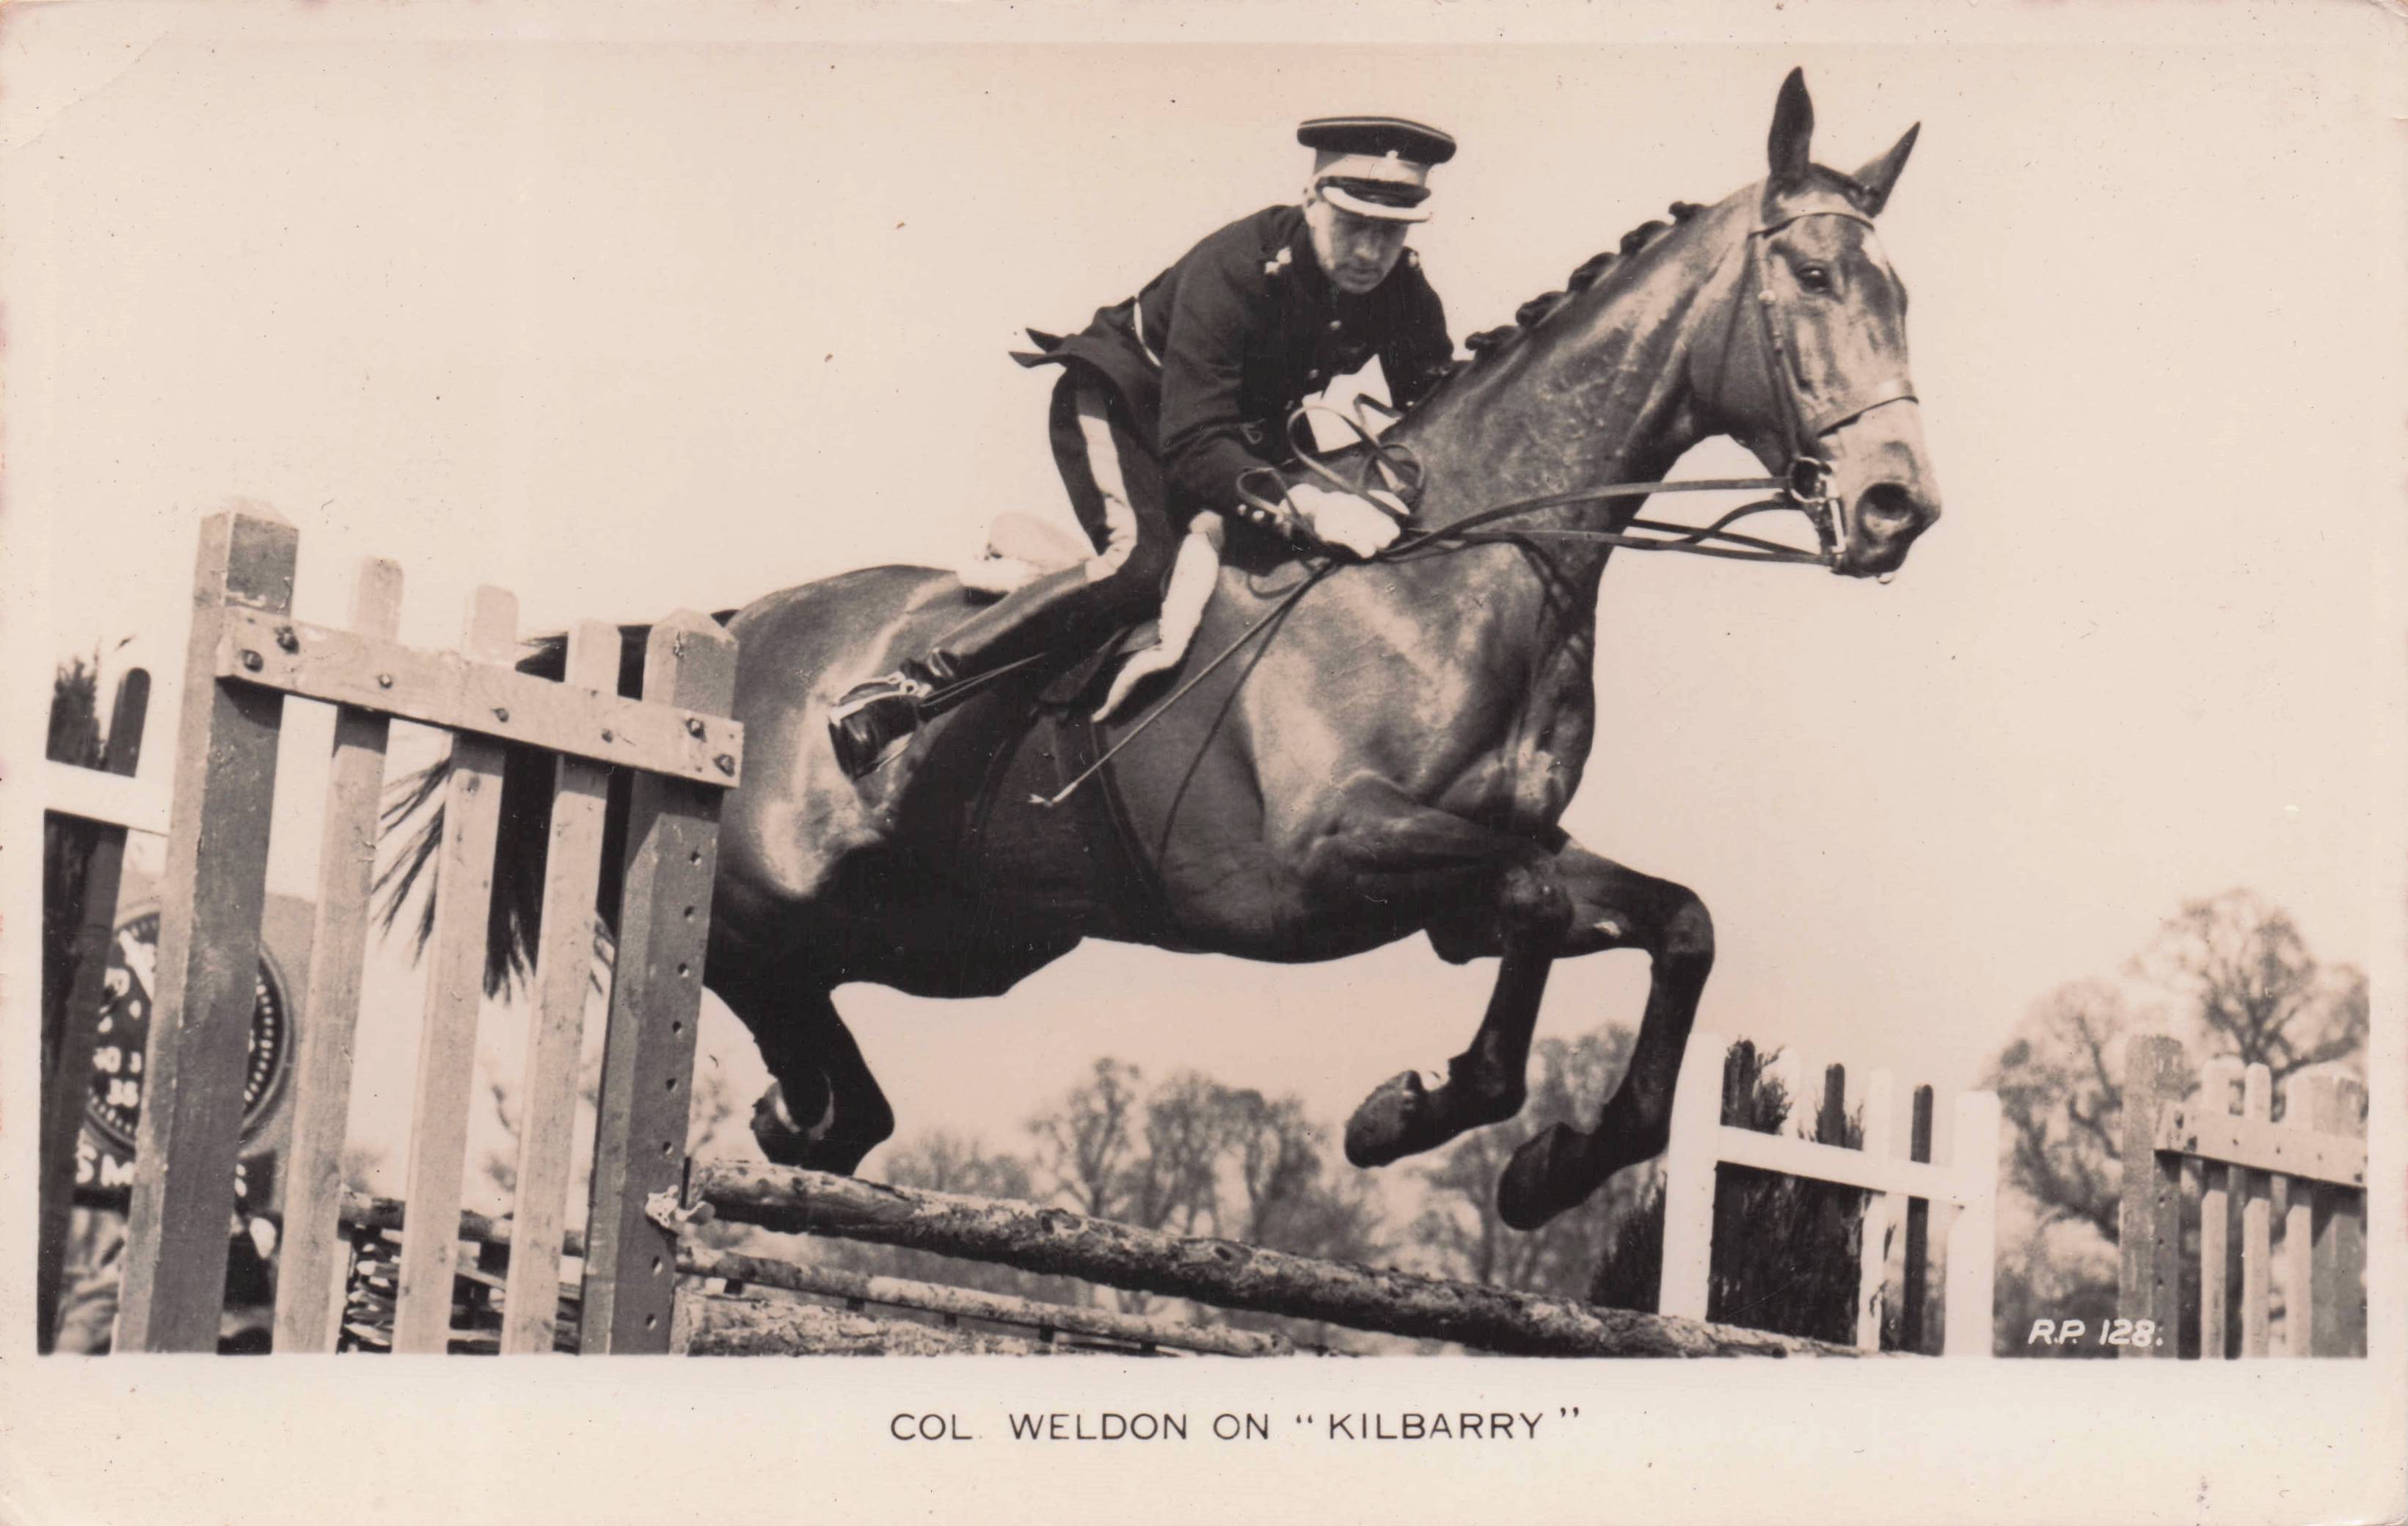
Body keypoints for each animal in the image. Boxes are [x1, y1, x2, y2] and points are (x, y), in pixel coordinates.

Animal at [395, 69, 1940, 1233]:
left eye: (1903, 296)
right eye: (1811, 276)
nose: (1896, 508)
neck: (1471, 564)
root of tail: (721, 631)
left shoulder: (1496, 842)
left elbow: (1650, 921)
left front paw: (1507, 1148)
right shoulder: (1326, 856)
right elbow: (1542, 904)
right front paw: (1426, 1117)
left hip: (958, 935)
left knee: (851, 1084)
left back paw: (799, 1116)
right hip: (762, 904)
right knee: (763, 1002)